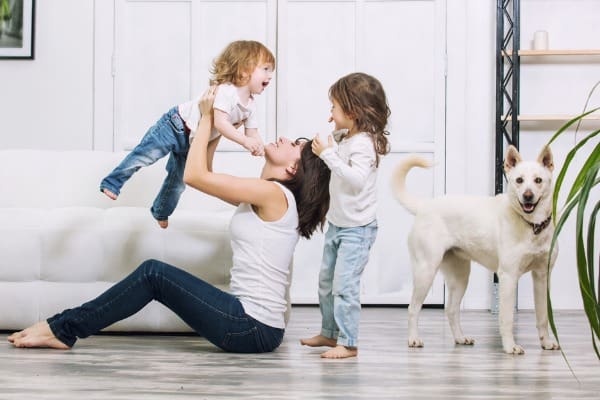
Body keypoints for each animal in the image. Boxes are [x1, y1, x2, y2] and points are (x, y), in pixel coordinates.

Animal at [392, 145, 560, 354]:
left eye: (538, 180)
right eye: (519, 180)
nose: (527, 196)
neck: (532, 226)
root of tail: (425, 205)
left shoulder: (542, 276)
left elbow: (543, 316)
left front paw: (546, 342)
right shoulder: (508, 277)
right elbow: (507, 318)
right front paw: (510, 347)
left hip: (460, 277)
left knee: (451, 310)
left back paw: (460, 338)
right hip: (426, 271)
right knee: (413, 308)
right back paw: (414, 339)